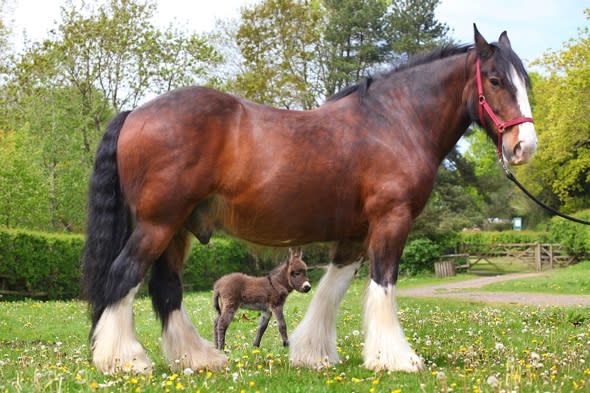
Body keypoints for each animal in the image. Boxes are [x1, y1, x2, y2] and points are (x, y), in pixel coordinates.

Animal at [81, 25, 540, 374]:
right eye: (495, 81)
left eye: (525, 82)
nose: (524, 147)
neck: (394, 122)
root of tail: (135, 113)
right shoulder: (392, 220)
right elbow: (384, 283)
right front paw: (396, 358)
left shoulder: (355, 234)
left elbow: (331, 289)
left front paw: (314, 354)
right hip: (158, 224)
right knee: (124, 276)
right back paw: (124, 359)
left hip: (178, 229)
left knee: (166, 288)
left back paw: (199, 358)